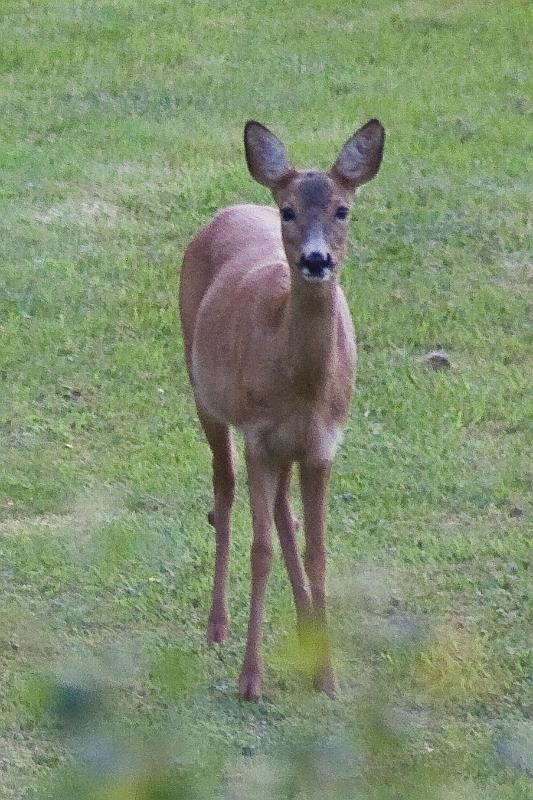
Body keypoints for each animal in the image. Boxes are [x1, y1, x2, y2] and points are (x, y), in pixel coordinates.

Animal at [179, 119, 382, 700]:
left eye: (343, 209)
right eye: (288, 211)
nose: (316, 260)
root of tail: (229, 209)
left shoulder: (323, 443)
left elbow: (316, 550)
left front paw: (328, 675)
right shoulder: (258, 434)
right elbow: (261, 549)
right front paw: (251, 680)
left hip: (285, 447)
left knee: (282, 511)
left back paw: (305, 628)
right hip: (203, 391)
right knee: (223, 490)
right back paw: (217, 626)